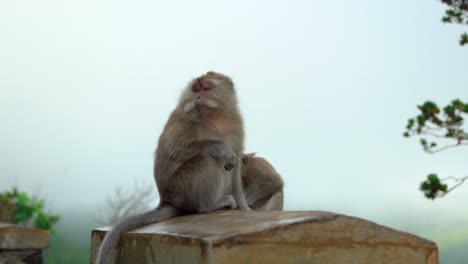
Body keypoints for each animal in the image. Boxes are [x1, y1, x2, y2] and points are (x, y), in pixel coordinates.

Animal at [96, 72, 252, 264]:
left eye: (205, 88)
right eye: (196, 89)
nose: (197, 97)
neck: (215, 118)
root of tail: (166, 198)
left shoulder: (237, 125)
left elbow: (236, 166)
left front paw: (244, 206)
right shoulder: (185, 119)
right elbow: (175, 150)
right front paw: (219, 146)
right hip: (181, 188)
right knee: (207, 160)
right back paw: (209, 205)